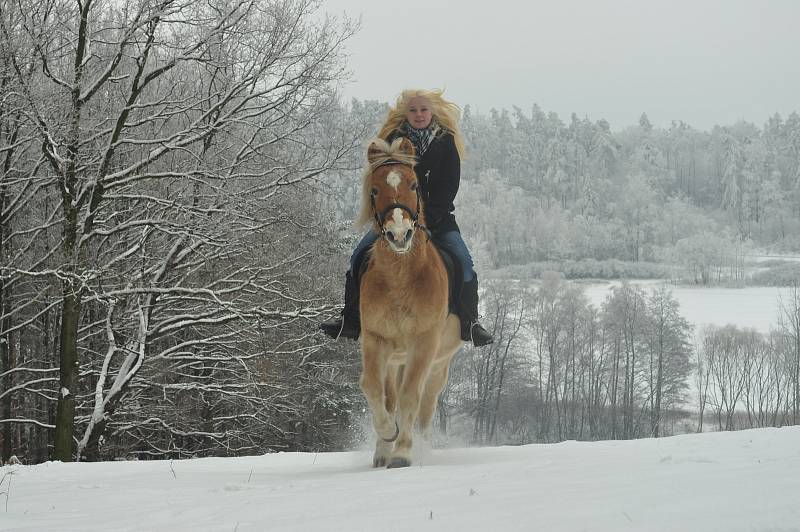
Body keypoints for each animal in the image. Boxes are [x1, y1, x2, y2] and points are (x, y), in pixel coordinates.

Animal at [356, 136, 462, 466]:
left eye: (414, 185)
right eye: (374, 190)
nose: (399, 234)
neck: (400, 279)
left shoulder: (424, 343)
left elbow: (410, 396)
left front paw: (403, 452)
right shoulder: (376, 339)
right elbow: (374, 388)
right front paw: (388, 436)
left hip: (439, 362)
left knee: (426, 403)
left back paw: (422, 445)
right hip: (395, 359)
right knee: (391, 395)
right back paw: (384, 450)